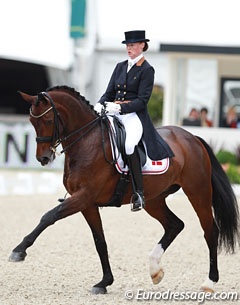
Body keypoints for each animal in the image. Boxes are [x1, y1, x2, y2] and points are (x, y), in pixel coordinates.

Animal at [8, 85, 239, 294]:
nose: (43, 158)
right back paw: (155, 270)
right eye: (32, 122)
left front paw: (19, 251)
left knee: (210, 231)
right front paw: (104, 282)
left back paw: (209, 282)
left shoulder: (83, 197)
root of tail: (193, 138)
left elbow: (48, 217)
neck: (87, 142)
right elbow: (100, 242)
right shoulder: (87, 204)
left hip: (198, 192)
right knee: (175, 225)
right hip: (154, 200)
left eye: (48, 120)